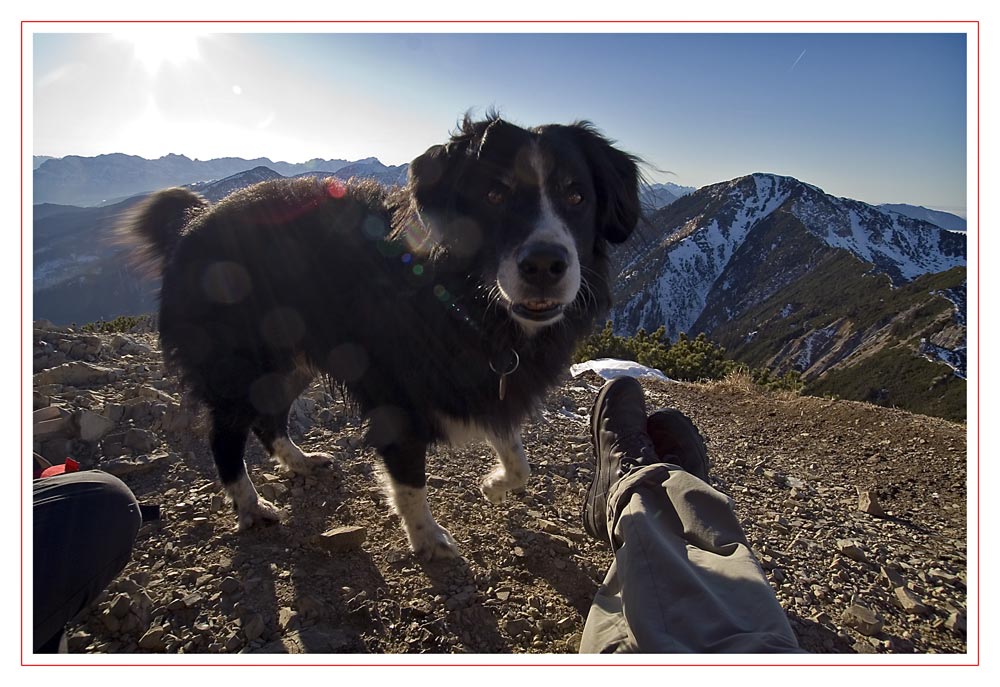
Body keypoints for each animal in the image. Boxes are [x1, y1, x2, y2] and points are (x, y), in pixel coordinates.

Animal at [125, 115, 640, 560]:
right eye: (494, 194)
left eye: (577, 197)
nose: (545, 266)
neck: (467, 301)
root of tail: (194, 220)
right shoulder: (397, 396)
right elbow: (410, 478)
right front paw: (428, 539)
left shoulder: (489, 381)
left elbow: (518, 456)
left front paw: (493, 484)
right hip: (241, 362)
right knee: (226, 434)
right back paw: (251, 507)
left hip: (292, 359)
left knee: (269, 420)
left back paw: (302, 462)